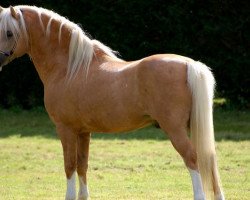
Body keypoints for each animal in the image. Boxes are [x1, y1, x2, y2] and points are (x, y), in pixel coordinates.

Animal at [0, 5, 226, 199]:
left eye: (9, 33)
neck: (69, 68)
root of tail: (190, 64)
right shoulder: (83, 132)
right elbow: (82, 165)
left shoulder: (66, 129)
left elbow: (69, 165)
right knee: (209, 159)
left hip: (175, 129)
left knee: (192, 158)